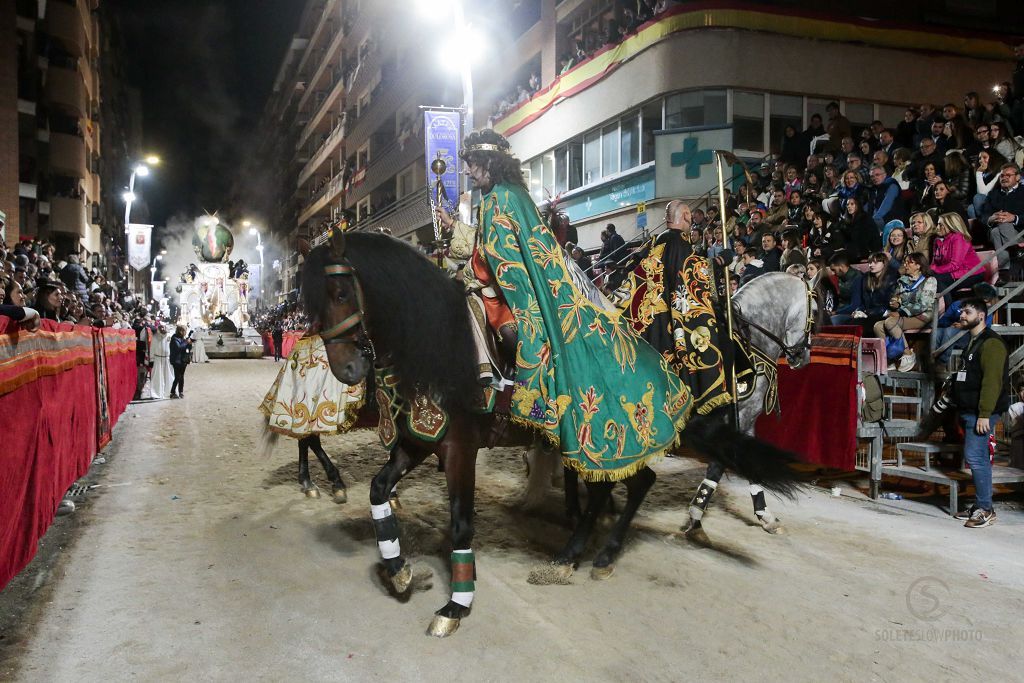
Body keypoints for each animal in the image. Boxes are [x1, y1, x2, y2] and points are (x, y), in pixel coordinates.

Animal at [305, 229, 806, 634]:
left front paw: (456, 605)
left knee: (638, 481)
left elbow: (462, 523)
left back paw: (597, 553)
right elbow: (377, 489)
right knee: (624, 484)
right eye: (314, 302)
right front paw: (397, 570)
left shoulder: (461, 448)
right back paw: (576, 554)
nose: (347, 369)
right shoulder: (419, 441)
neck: (441, 345)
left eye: (341, 290)